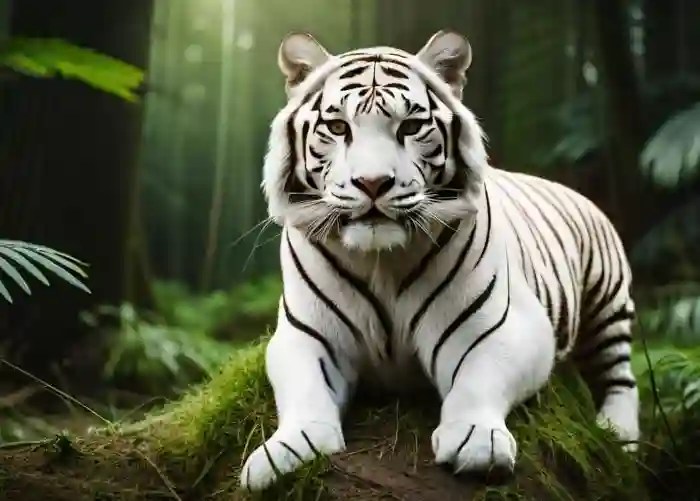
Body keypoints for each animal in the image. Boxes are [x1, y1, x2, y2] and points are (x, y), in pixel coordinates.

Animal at [240, 30, 640, 490]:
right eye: (338, 127)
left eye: (410, 127)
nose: (372, 183)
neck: (380, 262)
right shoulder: (306, 334)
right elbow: (306, 390)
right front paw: (287, 450)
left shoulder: (503, 326)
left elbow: (477, 378)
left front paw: (476, 440)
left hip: (608, 302)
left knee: (620, 374)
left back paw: (618, 434)